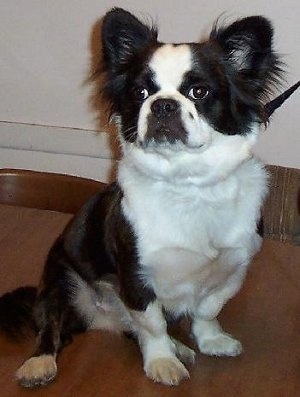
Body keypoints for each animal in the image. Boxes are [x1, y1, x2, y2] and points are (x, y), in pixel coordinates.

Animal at [0, 7, 298, 388]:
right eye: (140, 92)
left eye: (199, 91)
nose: (164, 105)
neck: (188, 183)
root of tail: (102, 320)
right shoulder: (135, 276)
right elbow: (152, 323)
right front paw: (161, 362)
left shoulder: (233, 267)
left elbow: (208, 308)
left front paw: (209, 340)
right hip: (60, 281)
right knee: (52, 326)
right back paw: (39, 363)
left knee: (130, 329)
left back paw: (180, 346)